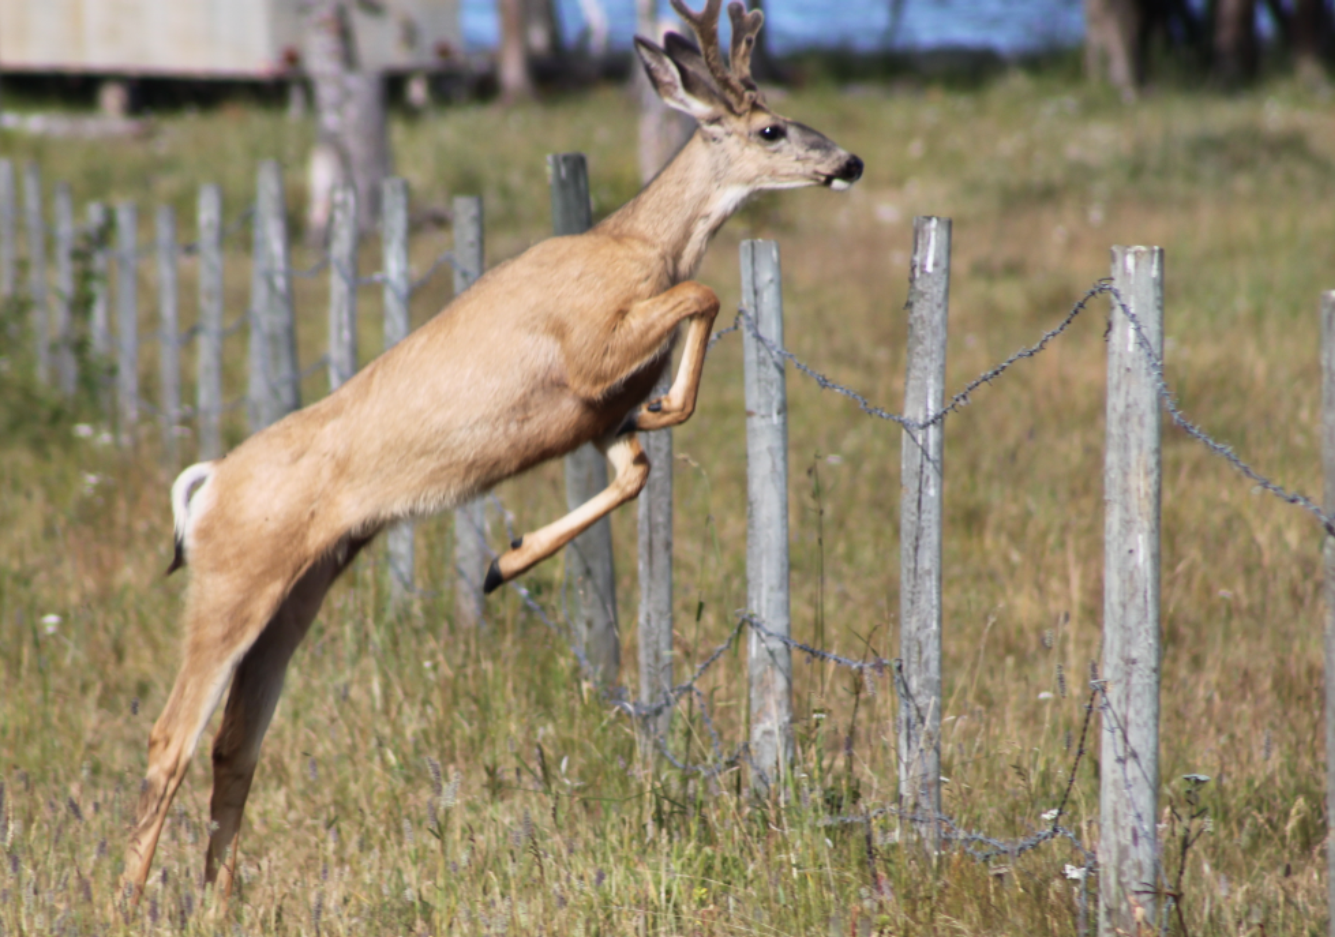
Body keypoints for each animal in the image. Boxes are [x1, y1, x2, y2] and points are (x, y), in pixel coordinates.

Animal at [125, 1, 865, 907]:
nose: (849, 161)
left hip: (299, 589)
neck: (637, 245)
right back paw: (126, 901)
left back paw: (220, 896)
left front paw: (505, 558)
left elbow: (637, 467)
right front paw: (663, 408)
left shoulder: (596, 418)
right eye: (770, 127)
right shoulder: (588, 351)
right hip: (234, 576)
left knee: (235, 744)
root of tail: (207, 485)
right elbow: (703, 293)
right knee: (169, 736)